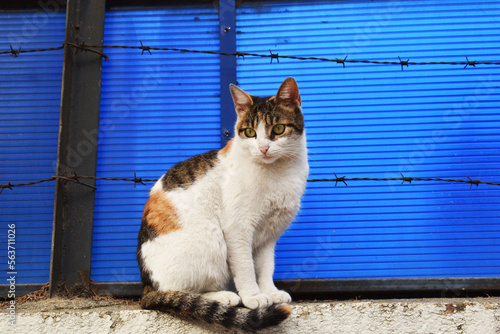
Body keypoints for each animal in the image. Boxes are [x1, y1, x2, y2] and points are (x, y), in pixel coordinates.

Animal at [137, 77, 308, 332]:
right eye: (249, 132)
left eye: (278, 129)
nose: (263, 148)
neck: (278, 173)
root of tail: (146, 286)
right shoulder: (238, 229)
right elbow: (246, 267)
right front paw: (254, 297)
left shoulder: (269, 235)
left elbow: (265, 266)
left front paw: (270, 291)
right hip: (211, 236)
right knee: (180, 291)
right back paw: (222, 297)